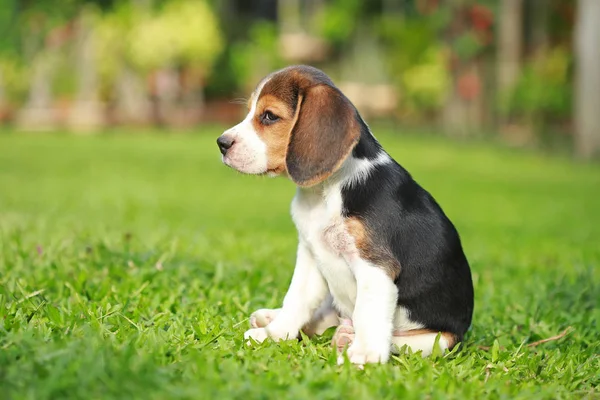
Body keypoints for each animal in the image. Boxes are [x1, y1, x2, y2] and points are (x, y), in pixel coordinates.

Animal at [216, 65, 474, 366]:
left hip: (440, 340)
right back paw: (272, 318)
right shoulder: (310, 255)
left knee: (396, 340)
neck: (325, 192)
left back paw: (349, 338)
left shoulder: (375, 267)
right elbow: (297, 299)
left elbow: (367, 313)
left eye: (269, 116)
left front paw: (365, 354)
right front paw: (274, 334)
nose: (221, 143)